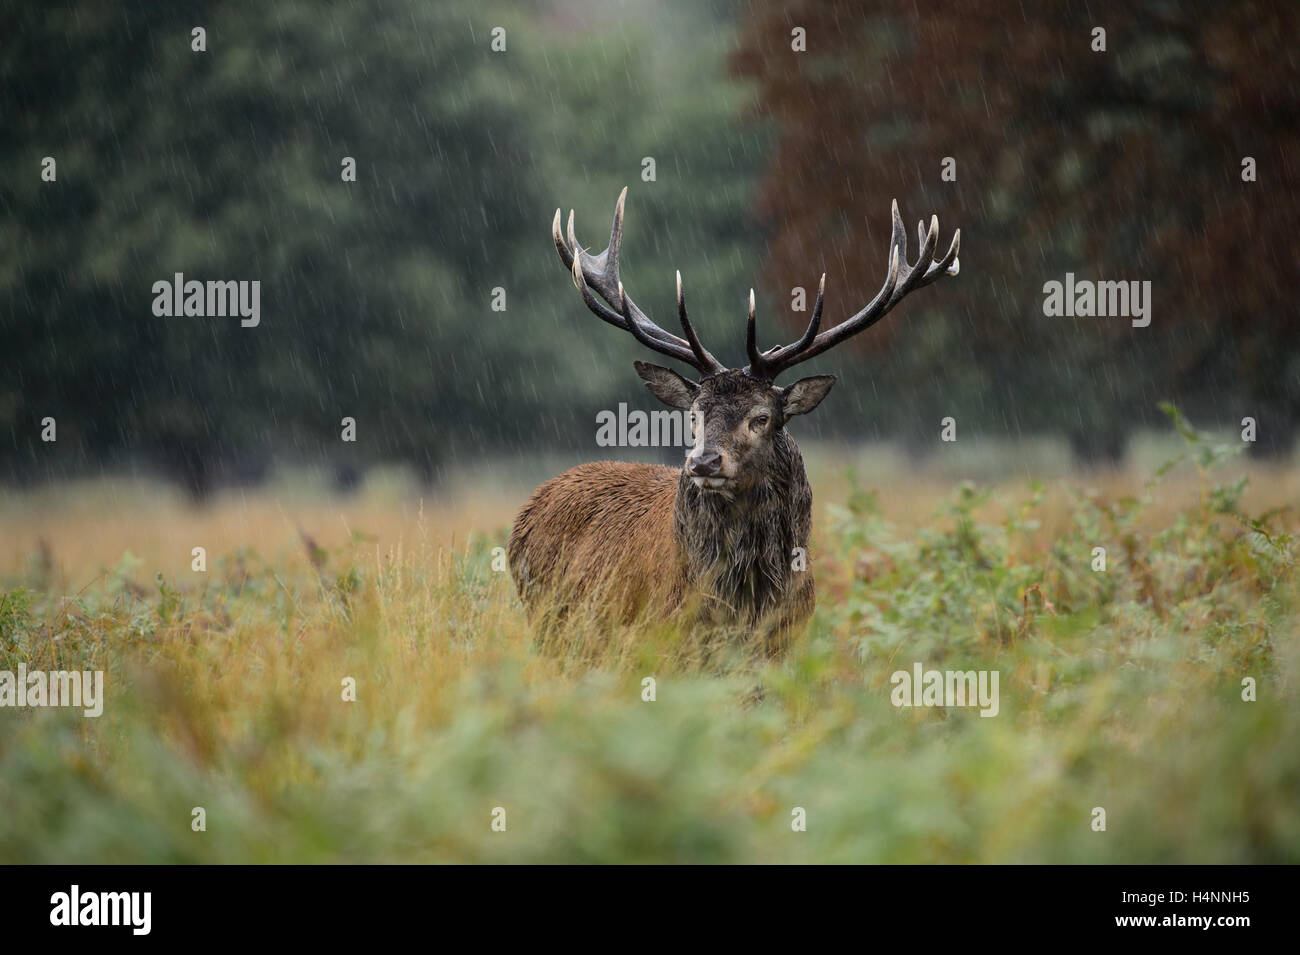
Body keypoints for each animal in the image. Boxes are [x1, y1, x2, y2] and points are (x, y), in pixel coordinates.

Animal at [512, 189, 961, 657]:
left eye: (761, 417)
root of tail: (528, 509)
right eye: (694, 415)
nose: (704, 463)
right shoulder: (662, 637)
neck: (748, 599)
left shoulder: (787, 640)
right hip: (548, 623)